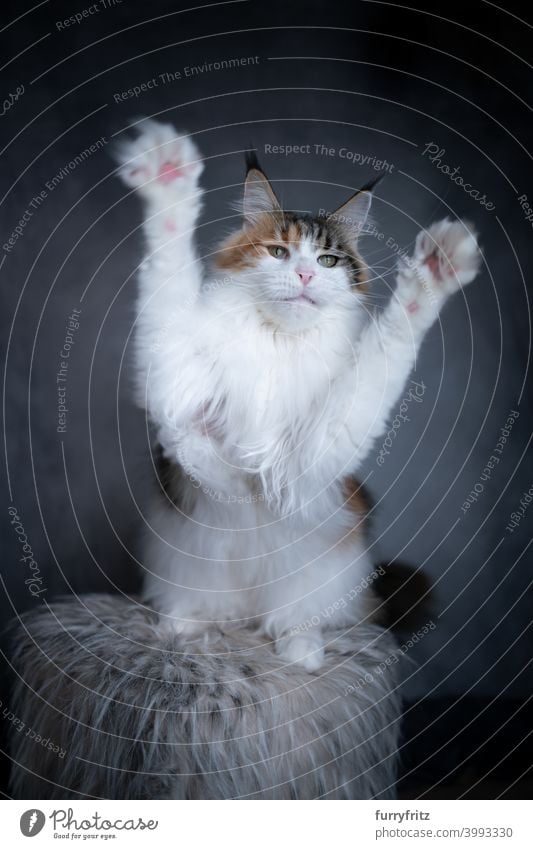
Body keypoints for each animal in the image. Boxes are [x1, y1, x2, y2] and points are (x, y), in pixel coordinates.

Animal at [117, 119, 482, 672]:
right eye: (279, 252)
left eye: (328, 260)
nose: (307, 274)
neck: (278, 342)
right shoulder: (178, 395)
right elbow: (169, 272)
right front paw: (167, 175)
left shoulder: (314, 453)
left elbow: (392, 340)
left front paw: (438, 268)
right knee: (199, 606)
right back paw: (183, 627)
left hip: (322, 569)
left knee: (296, 617)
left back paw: (301, 653)